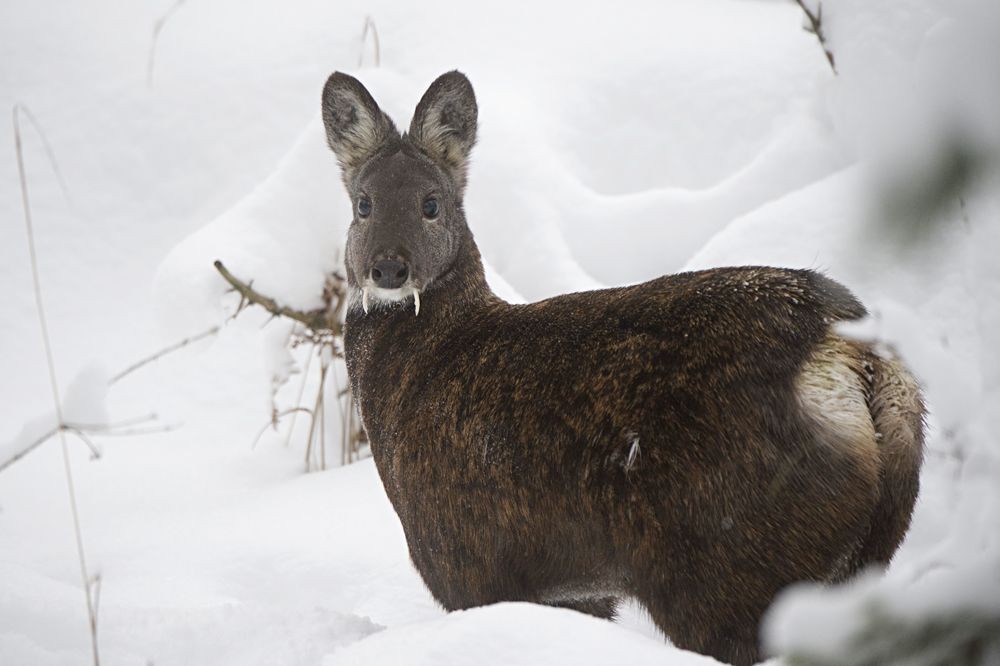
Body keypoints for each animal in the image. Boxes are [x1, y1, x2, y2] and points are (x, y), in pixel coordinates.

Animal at [320, 70, 920, 660]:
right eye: (363, 204)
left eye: (431, 204)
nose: (389, 269)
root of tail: (853, 353)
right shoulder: (576, 591)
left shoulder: (464, 557)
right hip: (858, 554)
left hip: (725, 559)